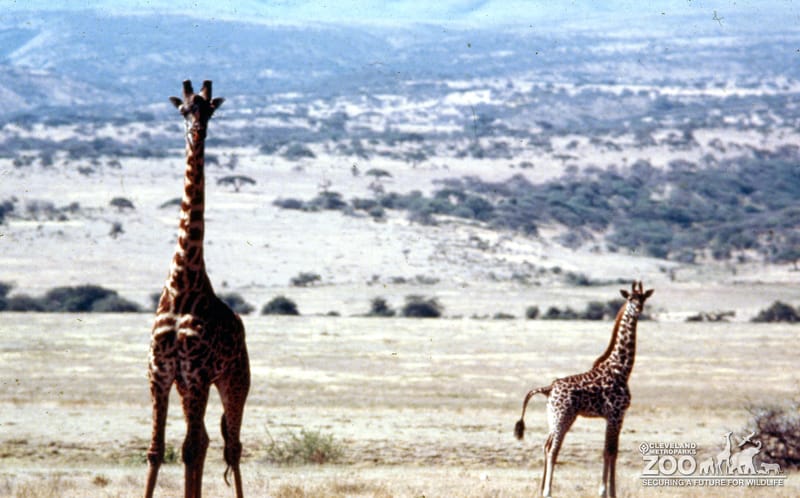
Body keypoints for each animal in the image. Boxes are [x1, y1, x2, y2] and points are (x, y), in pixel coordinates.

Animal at [145, 80, 250, 498]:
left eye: (210, 110)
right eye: (184, 110)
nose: (197, 131)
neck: (182, 283)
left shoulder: (198, 373)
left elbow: (189, 448)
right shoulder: (160, 371)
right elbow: (157, 450)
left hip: (235, 380)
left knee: (231, 445)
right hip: (191, 385)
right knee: (206, 439)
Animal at [514, 281, 653, 497]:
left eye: (643, 298)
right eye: (631, 298)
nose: (638, 309)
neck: (621, 369)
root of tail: (549, 388)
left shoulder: (618, 416)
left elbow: (612, 452)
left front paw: (610, 491)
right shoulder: (615, 414)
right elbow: (609, 451)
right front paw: (606, 491)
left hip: (555, 417)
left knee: (546, 445)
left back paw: (540, 490)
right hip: (563, 417)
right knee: (553, 449)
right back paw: (547, 492)